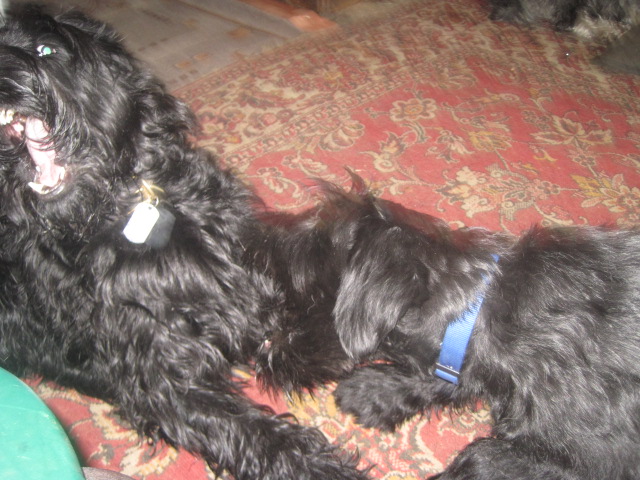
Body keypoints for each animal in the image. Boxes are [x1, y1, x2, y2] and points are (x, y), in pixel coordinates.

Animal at [256, 181, 640, 479]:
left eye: (304, 297)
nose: (262, 355)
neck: (479, 314)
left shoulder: (586, 458)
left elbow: (482, 458)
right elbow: (449, 379)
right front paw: (375, 391)